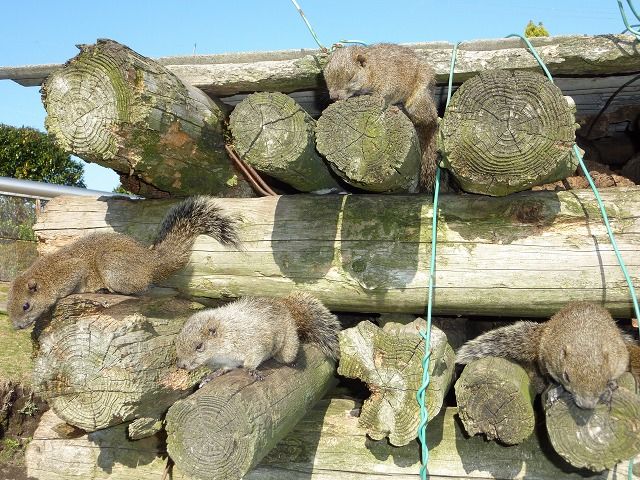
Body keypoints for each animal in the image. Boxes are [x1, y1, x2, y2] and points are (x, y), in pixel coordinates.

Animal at [7, 196, 240, 330]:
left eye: (26, 306)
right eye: (8, 307)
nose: (17, 326)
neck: (46, 276)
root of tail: (150, 261)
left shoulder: (71, 269)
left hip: (112, 264)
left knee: (140, 288)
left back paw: (108, 290)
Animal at [175, 292, 340, 381]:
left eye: (199, 346)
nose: (181, 365)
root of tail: (285, 307)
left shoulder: (253, 341)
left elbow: (254, 356)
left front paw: (251, 370)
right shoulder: (228, 361)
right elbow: (225, 368)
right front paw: (213, 375)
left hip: (287, 344)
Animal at [323, 43, 440, 191]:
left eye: (351, 77)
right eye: (326, 77)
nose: (334, 96)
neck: (373, 69)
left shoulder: (390, 80)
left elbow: (385, 94)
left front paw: (378, 98)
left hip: (418, 99)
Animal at [455, 302, 631, 409]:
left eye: (605, 377)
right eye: (567, 377)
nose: (586, 405)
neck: (585, 341)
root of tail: (545, 329)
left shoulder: (619, 356)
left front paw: (610, 387)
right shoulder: (550, 360)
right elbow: (554, 381)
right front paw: (557, 390)